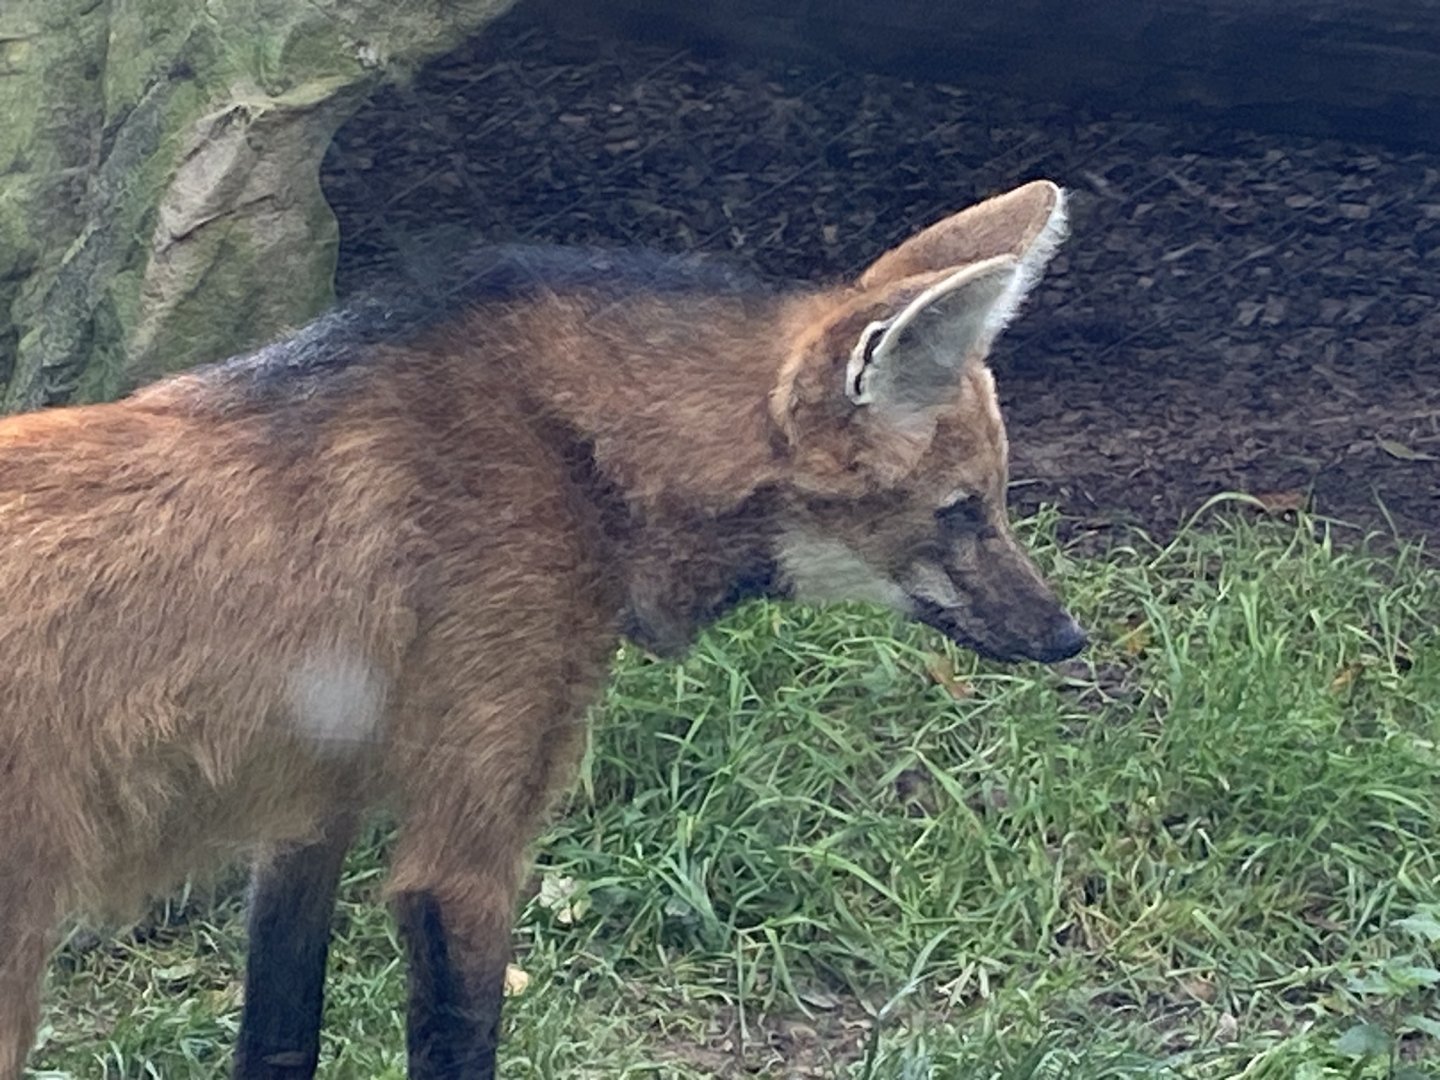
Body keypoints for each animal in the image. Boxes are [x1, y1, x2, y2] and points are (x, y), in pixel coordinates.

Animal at [0, 180, 1083, 1078]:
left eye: (995, 499)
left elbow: (278, 1035)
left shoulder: (309, 813)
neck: (580, 452)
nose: (1066, 637)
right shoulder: (463, 859)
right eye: (961, 511)